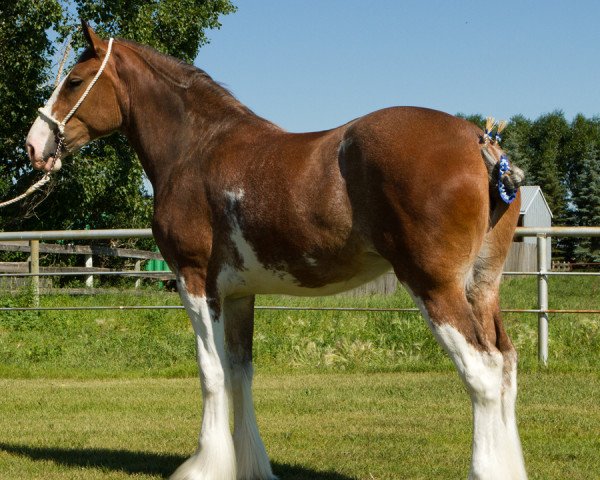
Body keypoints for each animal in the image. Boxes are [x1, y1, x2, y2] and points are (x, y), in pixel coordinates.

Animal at [25, 24, 528, 480]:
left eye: (74, 81)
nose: (34, 145)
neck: (195, 148)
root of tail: (481, 144)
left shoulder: (194, 280)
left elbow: (211, 373)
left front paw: (205, 467)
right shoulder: (239, 294)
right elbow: (240, 374)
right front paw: (250, 466)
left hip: (435, 287)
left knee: (483, 373)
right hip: (481, 288)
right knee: (505, 366)